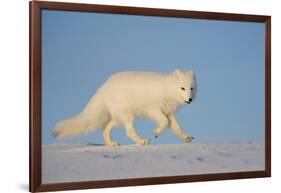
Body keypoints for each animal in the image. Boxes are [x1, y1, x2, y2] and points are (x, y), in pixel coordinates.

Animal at [53, 69, 196, 146]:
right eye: (182, 88)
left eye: (191, 88)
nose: (190, 99)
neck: (167, 90)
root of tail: (104, 86)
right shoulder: (153, 110)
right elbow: (164, 122)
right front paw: (156, 132)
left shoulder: (169, 113)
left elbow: (177, 128)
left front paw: (186, 137)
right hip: (127, 115)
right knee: (128, 131)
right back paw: (141, 141)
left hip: (117, 118)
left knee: (105, 128)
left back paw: (111, 144)